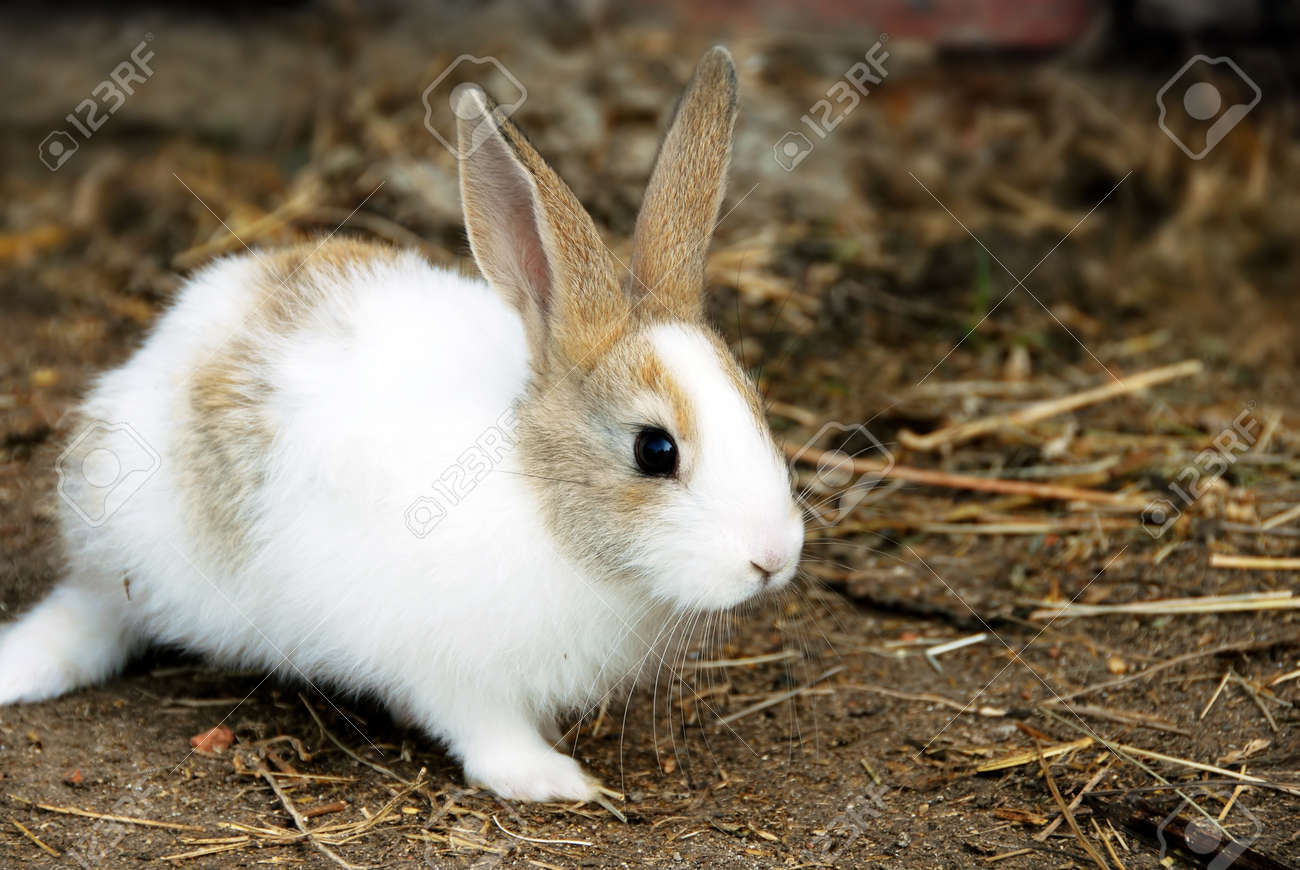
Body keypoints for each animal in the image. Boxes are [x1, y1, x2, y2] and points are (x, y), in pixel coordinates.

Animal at [0, 47, 804, 802]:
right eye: (655, 450)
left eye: (755, 405)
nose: (774, 558)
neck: (543, 500)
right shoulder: (449, 668)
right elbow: (484, 732)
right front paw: (552, 779)